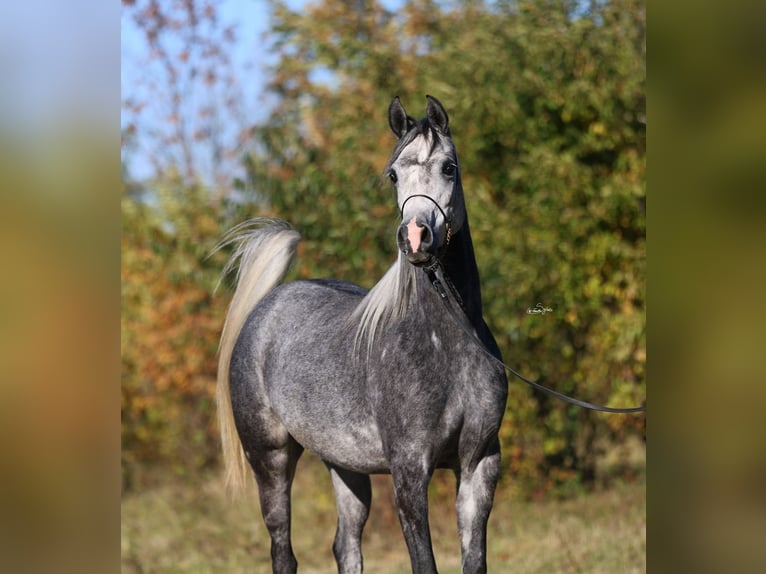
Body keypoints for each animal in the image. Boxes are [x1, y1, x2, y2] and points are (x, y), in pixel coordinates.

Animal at [216, 95, 508, 574]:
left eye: (449, 167)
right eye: (394, 174)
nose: (415, 237)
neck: (446, 346)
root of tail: (266, 307)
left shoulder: (479, 465)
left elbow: (475, 560)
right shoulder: (409, 471)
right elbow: (423, 562)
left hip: (345, 465)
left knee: (346, 546)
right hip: (270, 459)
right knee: (282, 550)